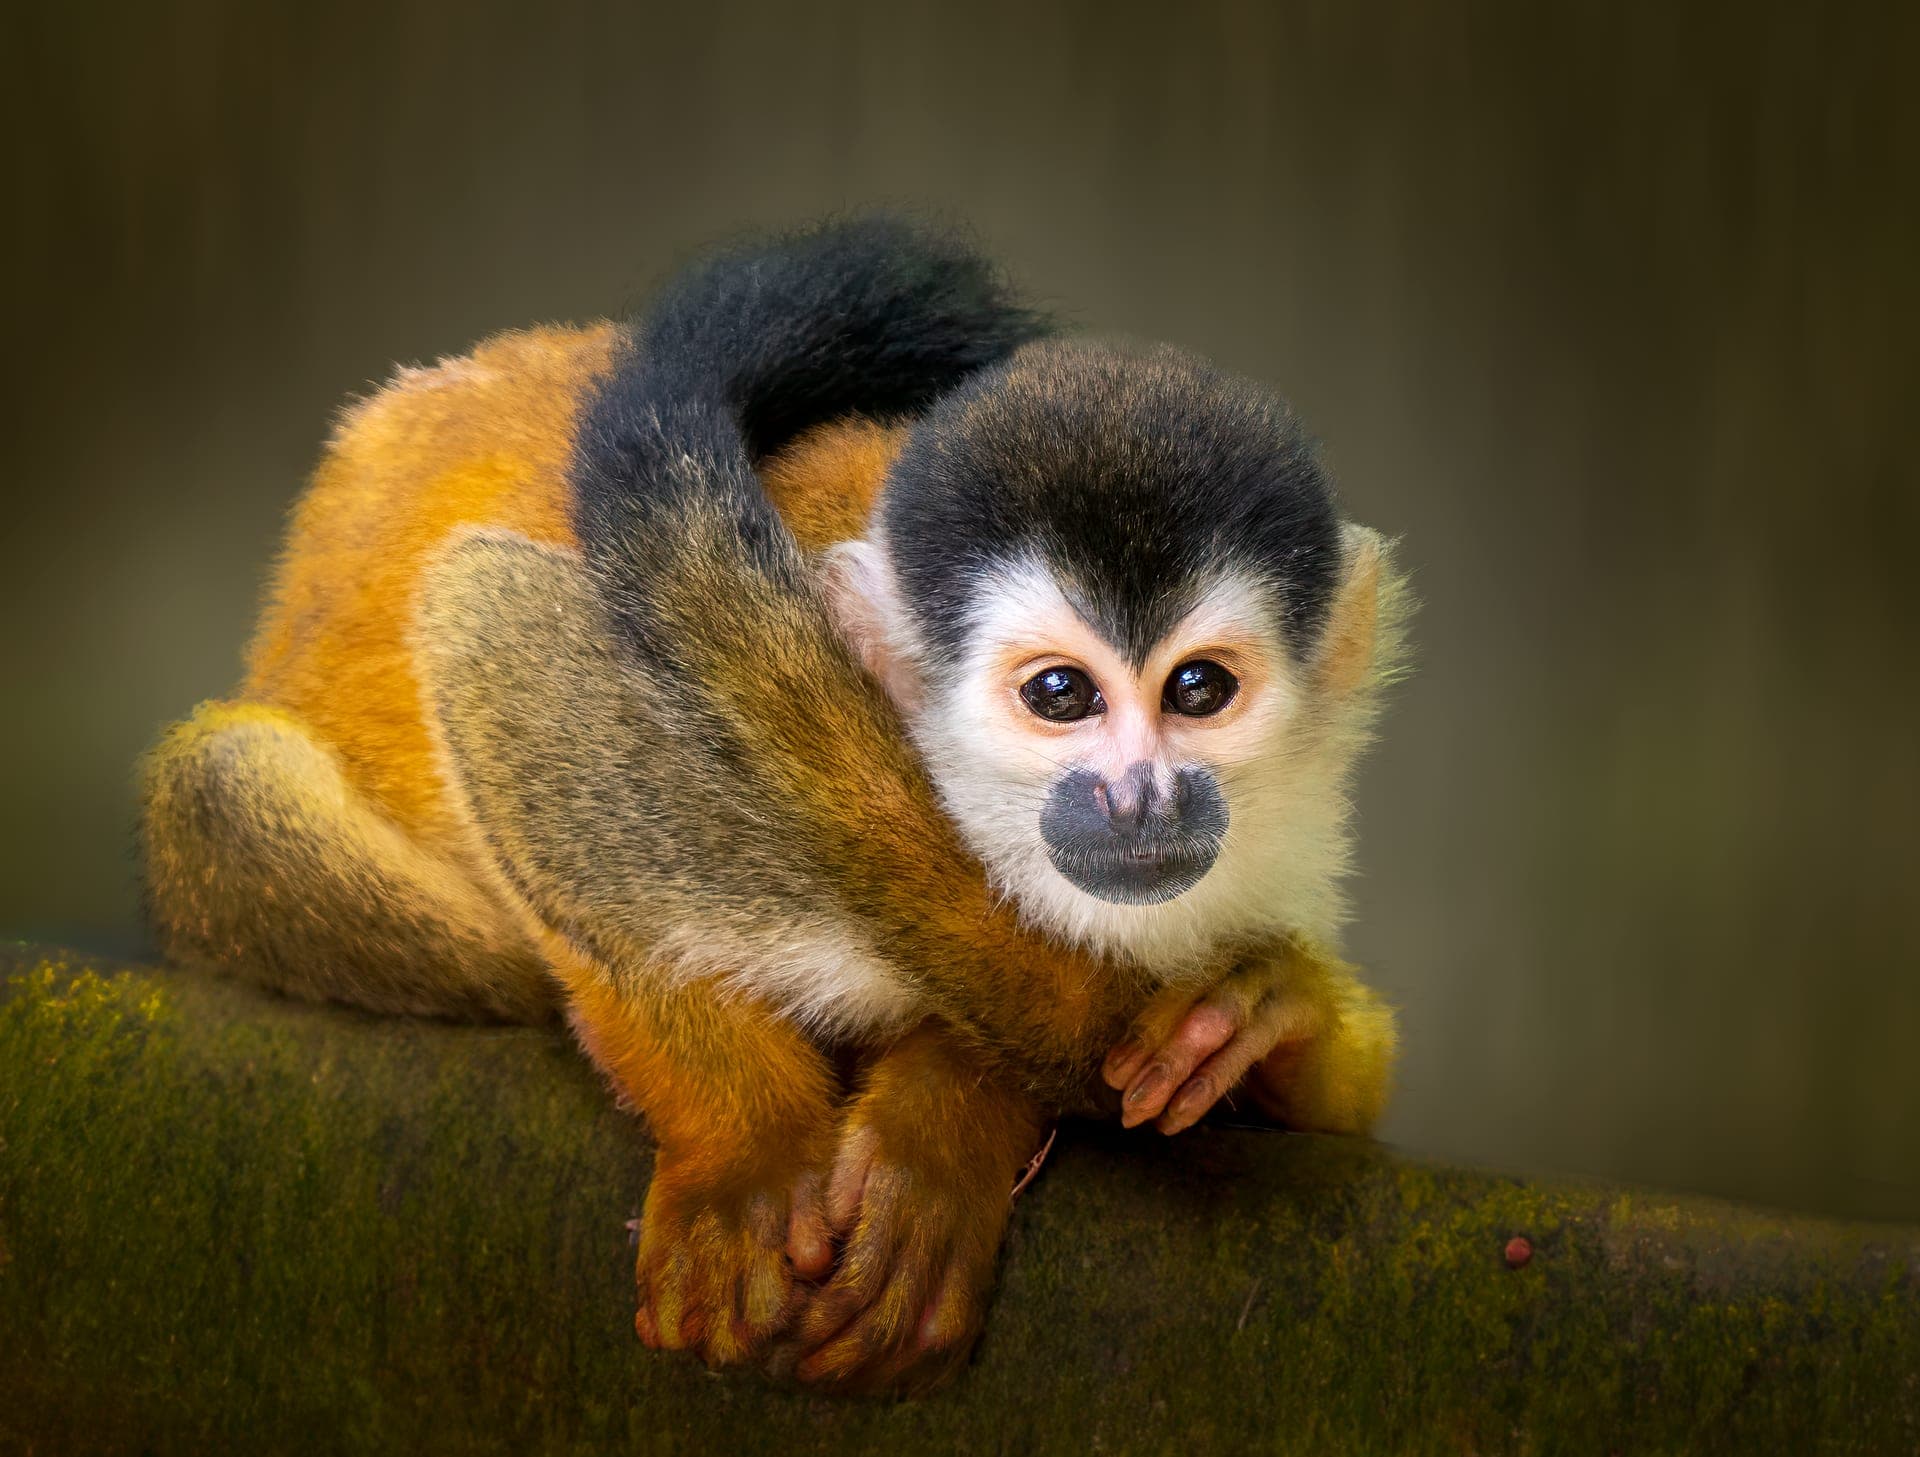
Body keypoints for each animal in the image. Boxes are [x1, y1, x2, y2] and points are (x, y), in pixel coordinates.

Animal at [139, 218, 1408, 1393]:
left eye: (1199, 689)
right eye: (1060, 694)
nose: (1140, 798)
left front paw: (1249, 1016)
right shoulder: (715, 767)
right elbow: (491, 627)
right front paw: (747, 1145)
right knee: (227, 790)